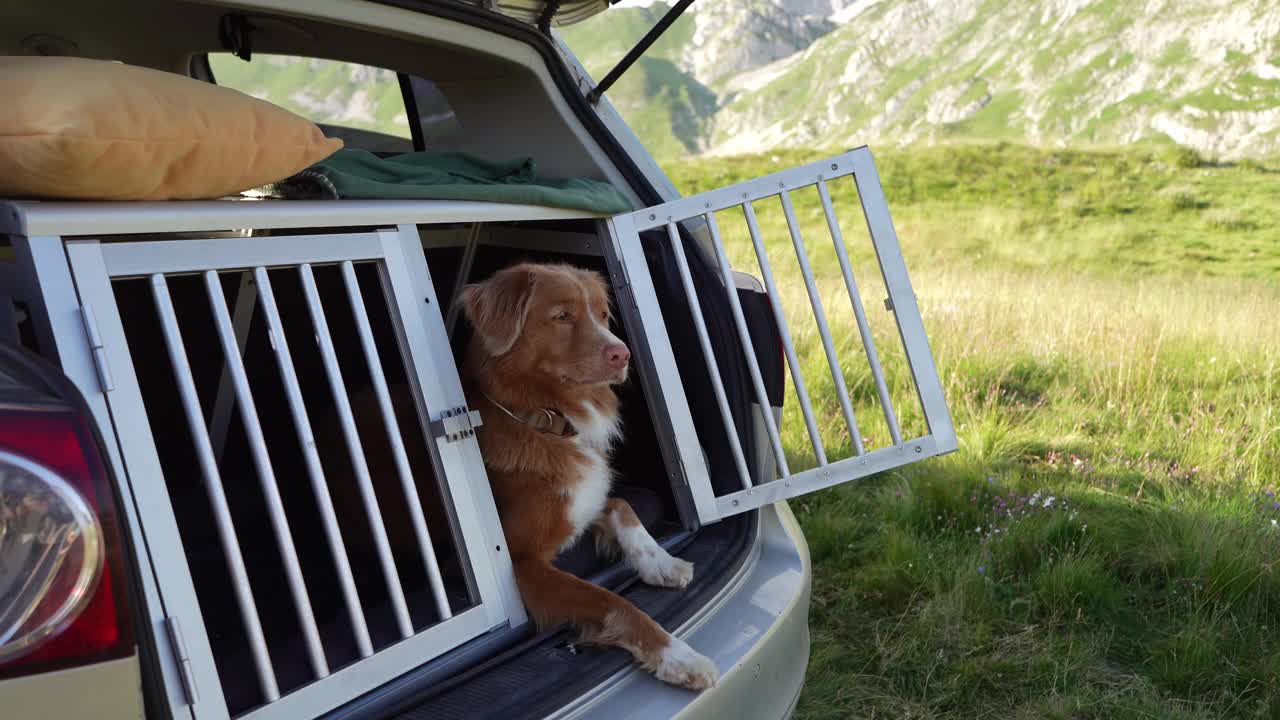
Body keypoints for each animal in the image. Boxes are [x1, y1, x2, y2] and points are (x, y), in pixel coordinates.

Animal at [460, 260, 721, 686]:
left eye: (601, 315)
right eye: (562, 316)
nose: (623, 353)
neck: (545, 420)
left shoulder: (583, 502)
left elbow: (621, 505)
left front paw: (660, 561)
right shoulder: (523, 563)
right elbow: (612, 601)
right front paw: (678, 656)